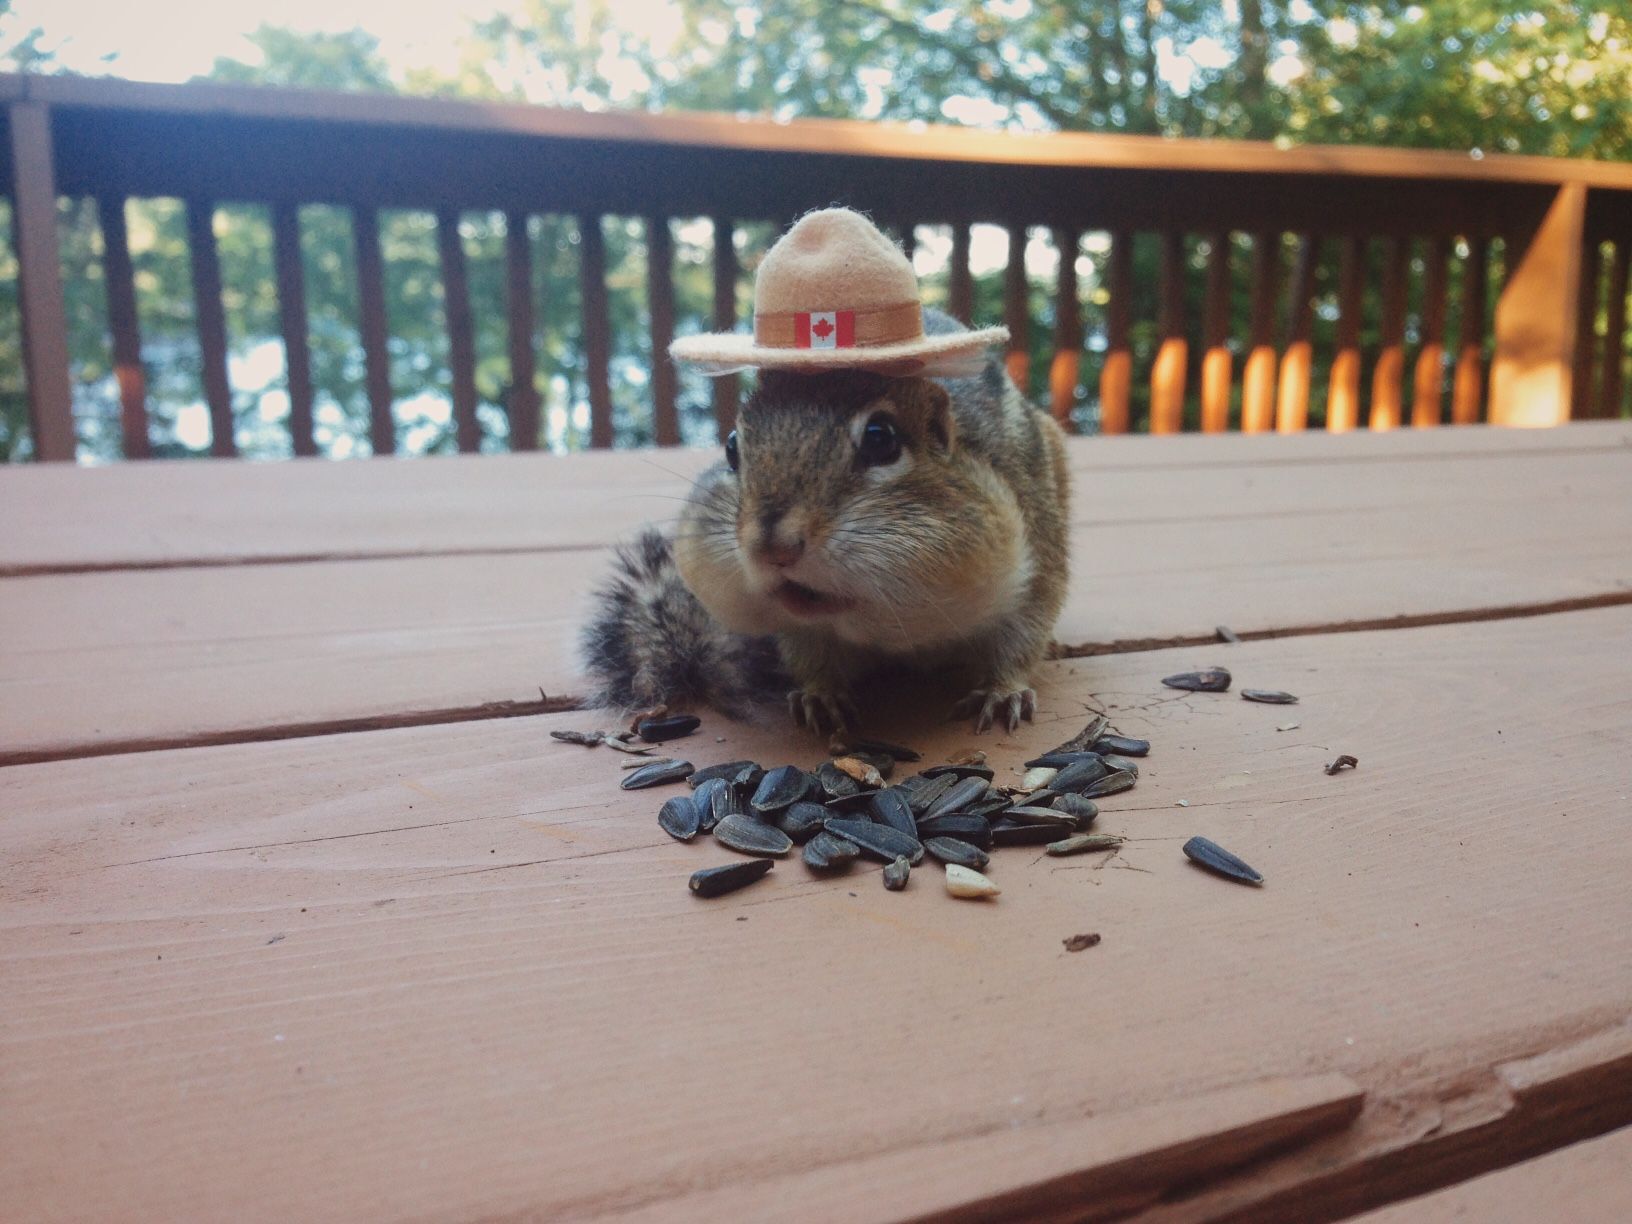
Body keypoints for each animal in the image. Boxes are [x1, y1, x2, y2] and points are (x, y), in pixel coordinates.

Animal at [580, 208, 1070, 736]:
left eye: (881, 438)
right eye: (732, 447)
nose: (773, 548)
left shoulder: (1034, 552)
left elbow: (1022, 634)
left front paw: (1003, 693)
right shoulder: (797, 630)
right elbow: (809, 653)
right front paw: (819, 696)